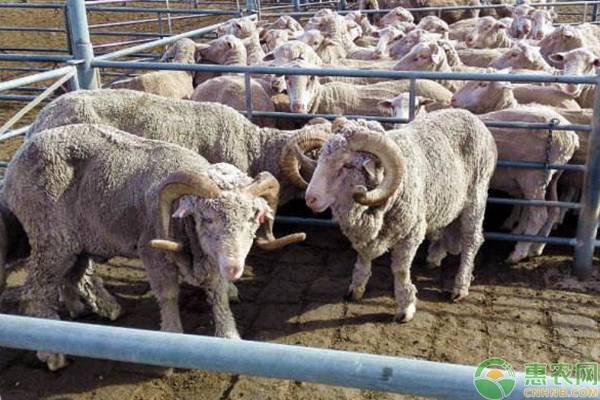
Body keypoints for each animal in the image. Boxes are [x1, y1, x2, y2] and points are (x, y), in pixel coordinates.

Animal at [3, 123, 304, 370]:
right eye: (206, 218)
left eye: (254, 219)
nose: (233, 268)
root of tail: (22, 152)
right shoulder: (154, 253)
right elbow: (168, 295)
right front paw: (172, 341)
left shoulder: (211, 258)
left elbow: (218, 295)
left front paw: (229, 339)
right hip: (50, 236)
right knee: (35, 292)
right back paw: (50, 352)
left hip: (78, 237)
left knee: (74, 272)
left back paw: (92, 308)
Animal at [300, 110, 496, 322]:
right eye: (320, 157)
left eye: (348, 165)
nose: (310, 198)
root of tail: (472, 116)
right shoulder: (364, 234)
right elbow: (363, 256)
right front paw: (356, 289)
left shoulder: (412, 232)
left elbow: (400, 270)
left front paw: (405, 307)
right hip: (446, 200)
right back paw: (435, 256)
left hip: (476, 197)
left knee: (471, 240)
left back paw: (460, 286)